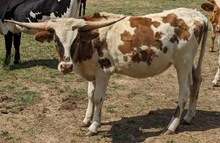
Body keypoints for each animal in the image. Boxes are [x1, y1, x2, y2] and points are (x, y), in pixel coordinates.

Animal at [5, 8, 208, 136]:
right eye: (55, 39)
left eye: (76, 39)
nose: (66, 66)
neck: (90, 41)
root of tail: (197, 15)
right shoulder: (92, 73)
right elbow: (90, 94)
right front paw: (87, 119)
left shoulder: (103, 72)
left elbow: (98, 98)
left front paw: (94, 126)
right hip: (190, 63)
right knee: (196, 82)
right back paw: (188, 116)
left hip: (182, 63)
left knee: (184, 91)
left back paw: (172, 126)